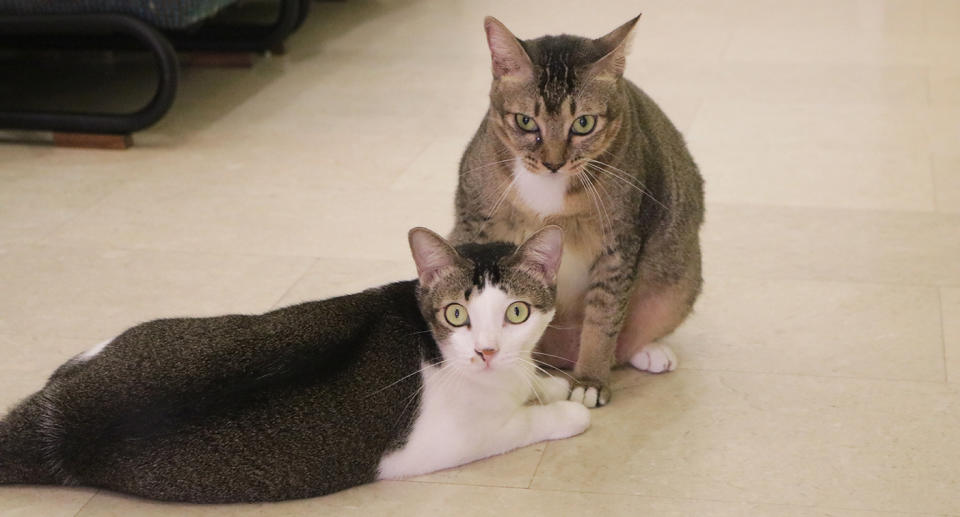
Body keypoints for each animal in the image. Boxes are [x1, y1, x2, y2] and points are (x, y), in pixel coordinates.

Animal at [0, 226, 584, 500]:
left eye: (516, 312)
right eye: (456, 314)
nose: (486, 351)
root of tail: (59, 418)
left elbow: (529, 380)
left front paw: (550, 384)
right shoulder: (444, 442)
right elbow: (520, 423)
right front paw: (565, 409)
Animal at [450, 15, 704, 408]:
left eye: (583, 123)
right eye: (525, 122)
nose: (553, 162)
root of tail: (560, 357)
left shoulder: (619, 244)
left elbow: (603, 319)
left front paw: (590, 381)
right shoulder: (474, 221)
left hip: (679, 277)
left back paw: (649, 352)